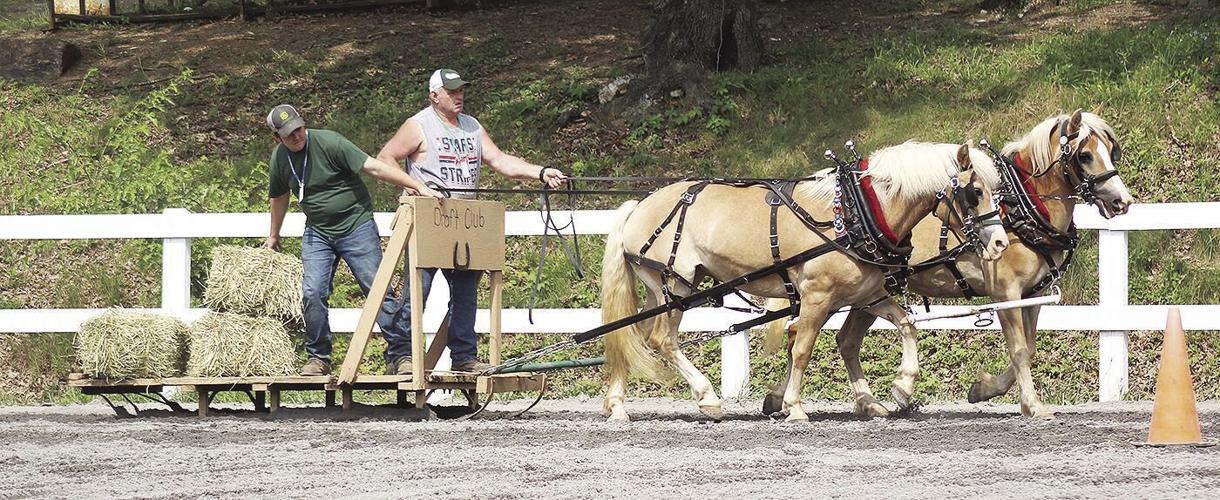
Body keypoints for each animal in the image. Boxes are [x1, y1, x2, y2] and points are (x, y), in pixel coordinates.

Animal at [600, 141, 1010, 422]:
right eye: (975, 192)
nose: (1000, 243)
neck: (857, 213)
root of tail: (638, 205)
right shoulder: (816, 295)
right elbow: (802, 349)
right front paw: (795, 406)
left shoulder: (870, 294)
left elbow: (906, 324)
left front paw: (901, 387)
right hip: (675, 284)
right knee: (661, 339)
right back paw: (707, 397)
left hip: (663, 290)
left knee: (632, 335)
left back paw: (617, 404)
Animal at [763, 110, 1134, 419]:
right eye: (1085, 155)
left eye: (1110, 150)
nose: (1123, 201)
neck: (1021, 207)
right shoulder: (1007, 292)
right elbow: (1018, 349)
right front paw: (1031, 404)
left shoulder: (1032, 294)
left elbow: (1028, 347)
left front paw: (984, 389)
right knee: (806, 336)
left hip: (863, 292)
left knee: (840, 340)